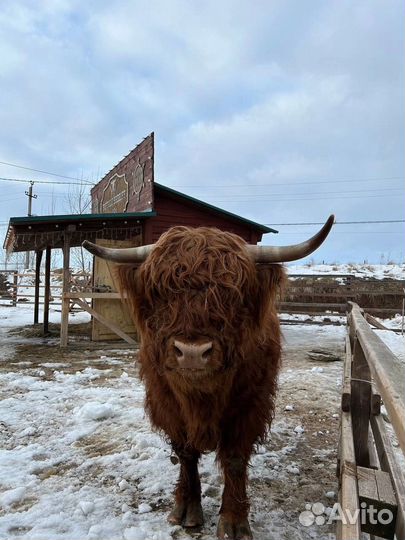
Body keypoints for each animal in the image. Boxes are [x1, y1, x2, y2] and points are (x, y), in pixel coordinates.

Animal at [82, 215, 332, 540]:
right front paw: (186, 508)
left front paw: (234, 520)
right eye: (161, 292)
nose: (191, 352)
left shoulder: (250, 404)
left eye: (232, 294)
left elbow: (236, 459)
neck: (201, 398)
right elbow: (186, 454)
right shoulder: (167, 403)